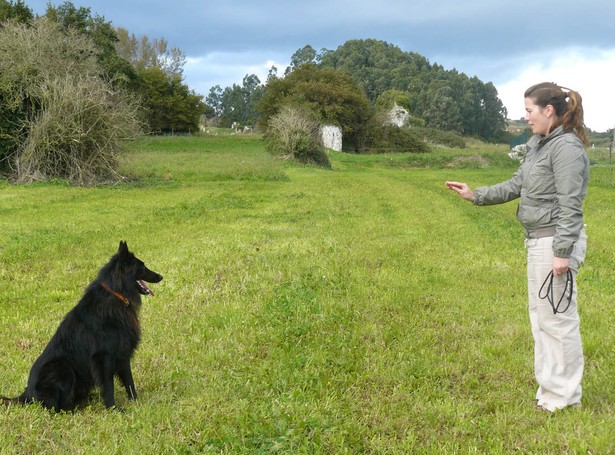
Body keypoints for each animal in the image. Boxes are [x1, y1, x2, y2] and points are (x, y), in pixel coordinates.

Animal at [0, 242, 162, 414]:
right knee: (57, 407)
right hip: (61, 368)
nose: (161, 276)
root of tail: (26, 394)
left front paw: (135, 401)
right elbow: (108, 386)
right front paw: (113, 407)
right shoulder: (103, 357)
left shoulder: (123, 352)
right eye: (142, 266)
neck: (116, 293)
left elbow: (129, 381)